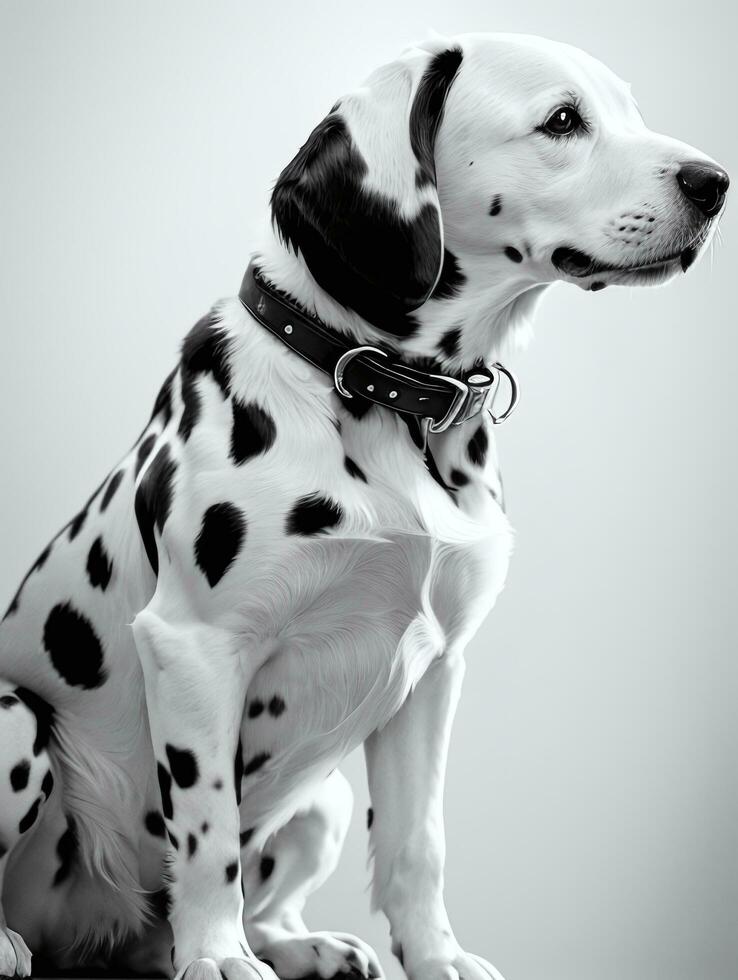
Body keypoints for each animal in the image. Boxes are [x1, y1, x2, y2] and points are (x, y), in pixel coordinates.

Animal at [0, 26, 724, 980]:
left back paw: (303, 946)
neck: (377, 386)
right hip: (15, 721)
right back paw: (21, 940)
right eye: (563, 120)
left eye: (631, 111)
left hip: (325, 800)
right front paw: (219, 956)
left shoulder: (435, 674)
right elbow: (208, 837)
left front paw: (437, 956)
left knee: (275, 896)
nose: (716, 183)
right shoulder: (193, 648)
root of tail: (96, 938)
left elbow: (418, 843)